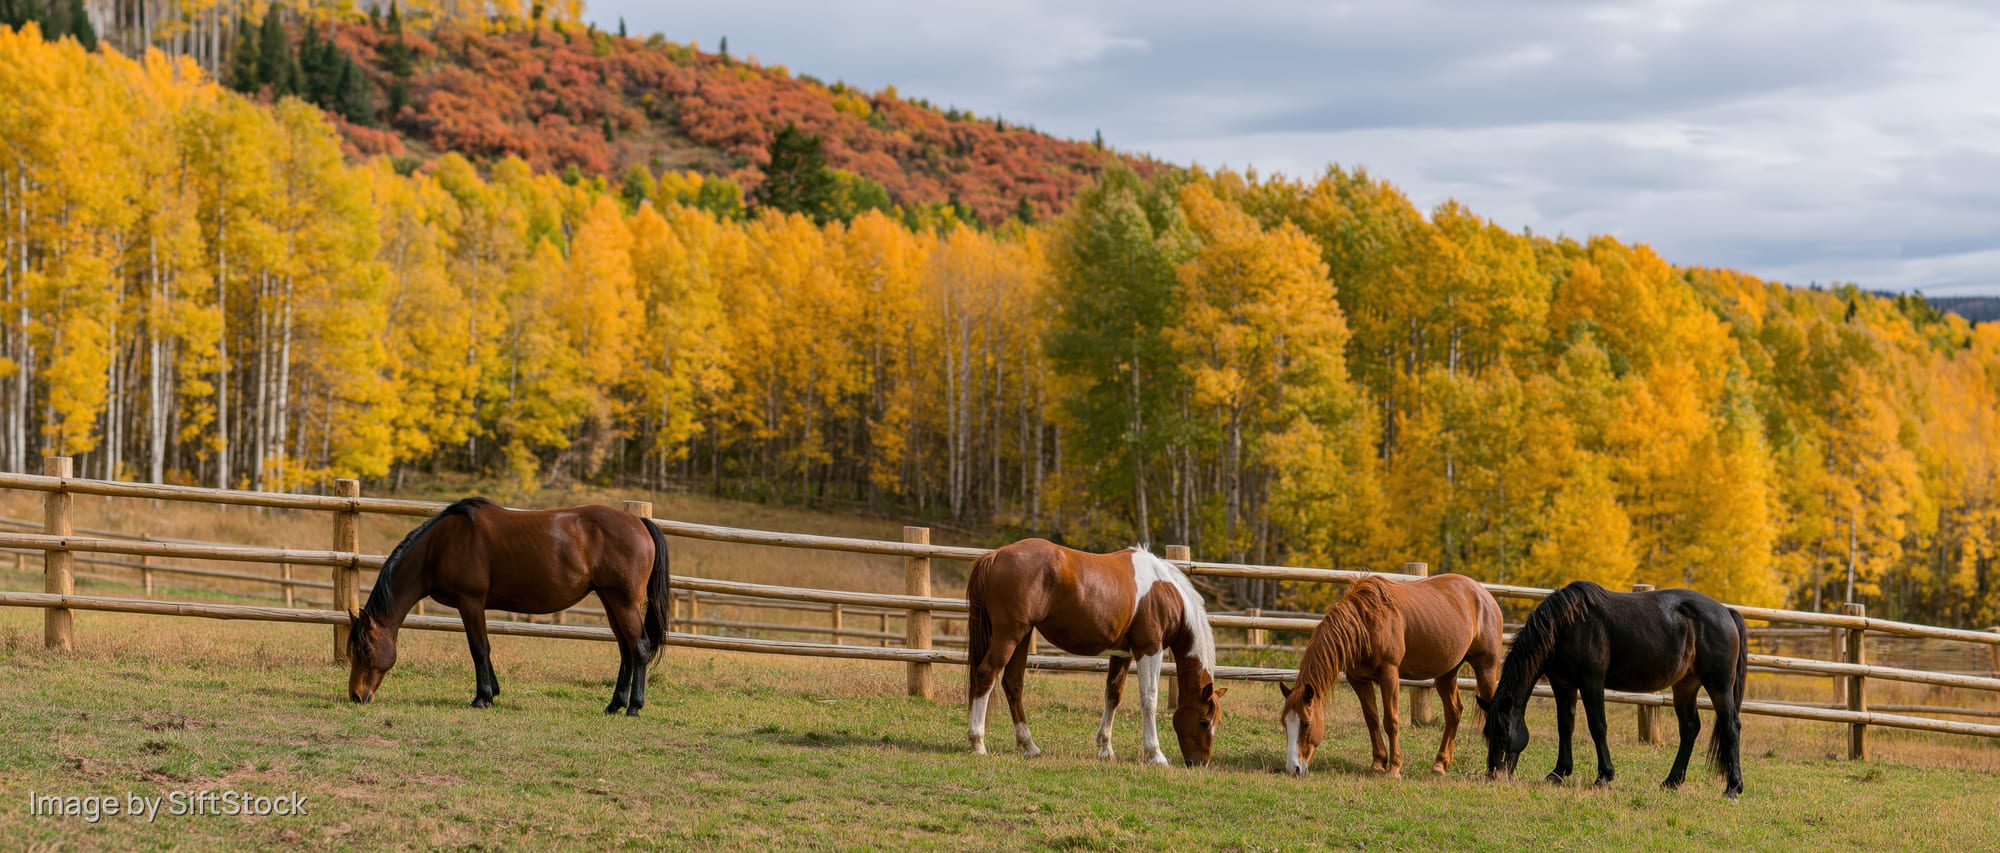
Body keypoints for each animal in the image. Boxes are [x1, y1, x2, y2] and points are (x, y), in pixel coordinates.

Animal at [346, 498, 673, 716]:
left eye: (364, 649)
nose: (356, 696)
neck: (442, 544)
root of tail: (638, 523)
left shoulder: (470, 601)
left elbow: (479, 648)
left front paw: (482, 698)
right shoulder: (474, 605)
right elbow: (484, 648)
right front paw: (493, 693)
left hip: (623, 601)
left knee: (639, 647)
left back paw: (633, 707)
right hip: (609, 599)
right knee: (626, 649)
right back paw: (614, 704)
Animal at [965, 538, 1226, 767]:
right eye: (1204, 722)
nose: (1200, 763)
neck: (1166, 592)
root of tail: (996, 555)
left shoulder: (1122, 654)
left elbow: (1113, 695)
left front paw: (1105, 749)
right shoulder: (1149, 650)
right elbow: (1149, 699)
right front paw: (1156, 754)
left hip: (1022, 635)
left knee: (1013, 683)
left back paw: (1030, 746)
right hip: (1009, 635)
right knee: (987, 674)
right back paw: (978, 742)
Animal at [1276, 574, 1503, 777]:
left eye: (1307, 723)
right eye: (1285, 723)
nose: (1293, 768)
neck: (1366, 622)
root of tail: (1484, 595)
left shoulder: (1390, 675)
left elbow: (1391, 722)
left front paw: (1394, 768)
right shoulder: (1358, 680)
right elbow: (1372, 719)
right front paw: (1378, 763)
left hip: (1486, 668)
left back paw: (1493, 769)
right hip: (1447, 674)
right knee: (1454, 712)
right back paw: (1440, 764)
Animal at [1478, 581, 1747, 798]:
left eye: (1502, 733)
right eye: (1488, 732)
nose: (1493, 774)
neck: (1567, 625)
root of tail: (1726, 612)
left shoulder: (1592, 682)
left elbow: (1597, 726)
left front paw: (1604, 776)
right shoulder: (1562, 683)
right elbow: (1565, 725)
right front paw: (1558, 772)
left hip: (1719, 686)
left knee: (1731, 727)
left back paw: (1732, 788)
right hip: (1685, 686)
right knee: (1690, 729)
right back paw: (1672, 781)